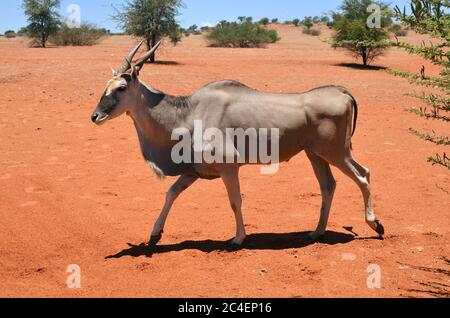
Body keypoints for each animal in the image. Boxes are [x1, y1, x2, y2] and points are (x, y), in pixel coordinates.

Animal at [90, 40, 384, 248]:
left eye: (121, 88)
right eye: (106, 85)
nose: (95, 116)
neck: (188, 113)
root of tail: (341, 91)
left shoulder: (228, 168)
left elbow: (235, 201)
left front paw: (238, 238)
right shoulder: (193, 172)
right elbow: (171, 193)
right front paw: (155, 234)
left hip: (336, 153)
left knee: (363, 175)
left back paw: (375, 225)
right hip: (316, 155)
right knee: (328, 186)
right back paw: (317, 232)